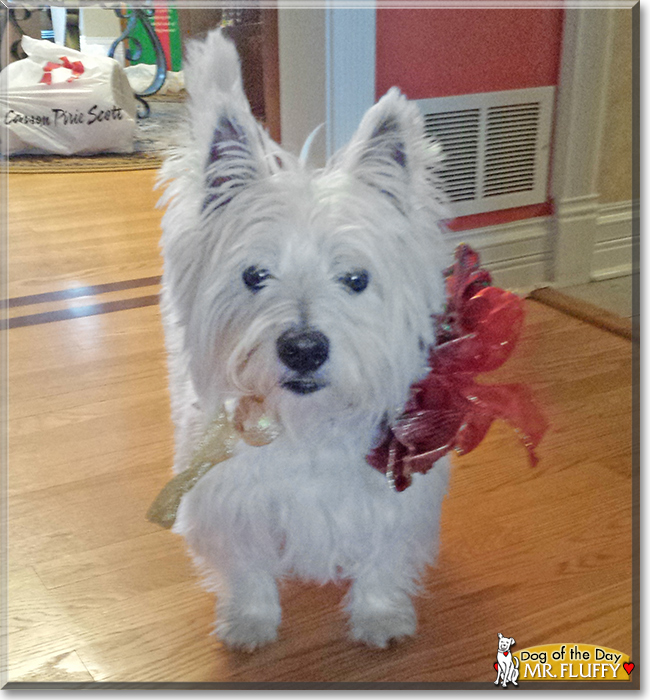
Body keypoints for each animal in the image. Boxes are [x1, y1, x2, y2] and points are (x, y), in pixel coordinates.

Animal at [157, 28, 450, 652]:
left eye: (356, 279)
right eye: (254, 276)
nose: (304, 349)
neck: (305, 427)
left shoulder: (393, 492)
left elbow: (383, 555)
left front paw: (380, 617)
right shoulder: (226, 498)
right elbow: (246, 567)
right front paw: (249, 623)